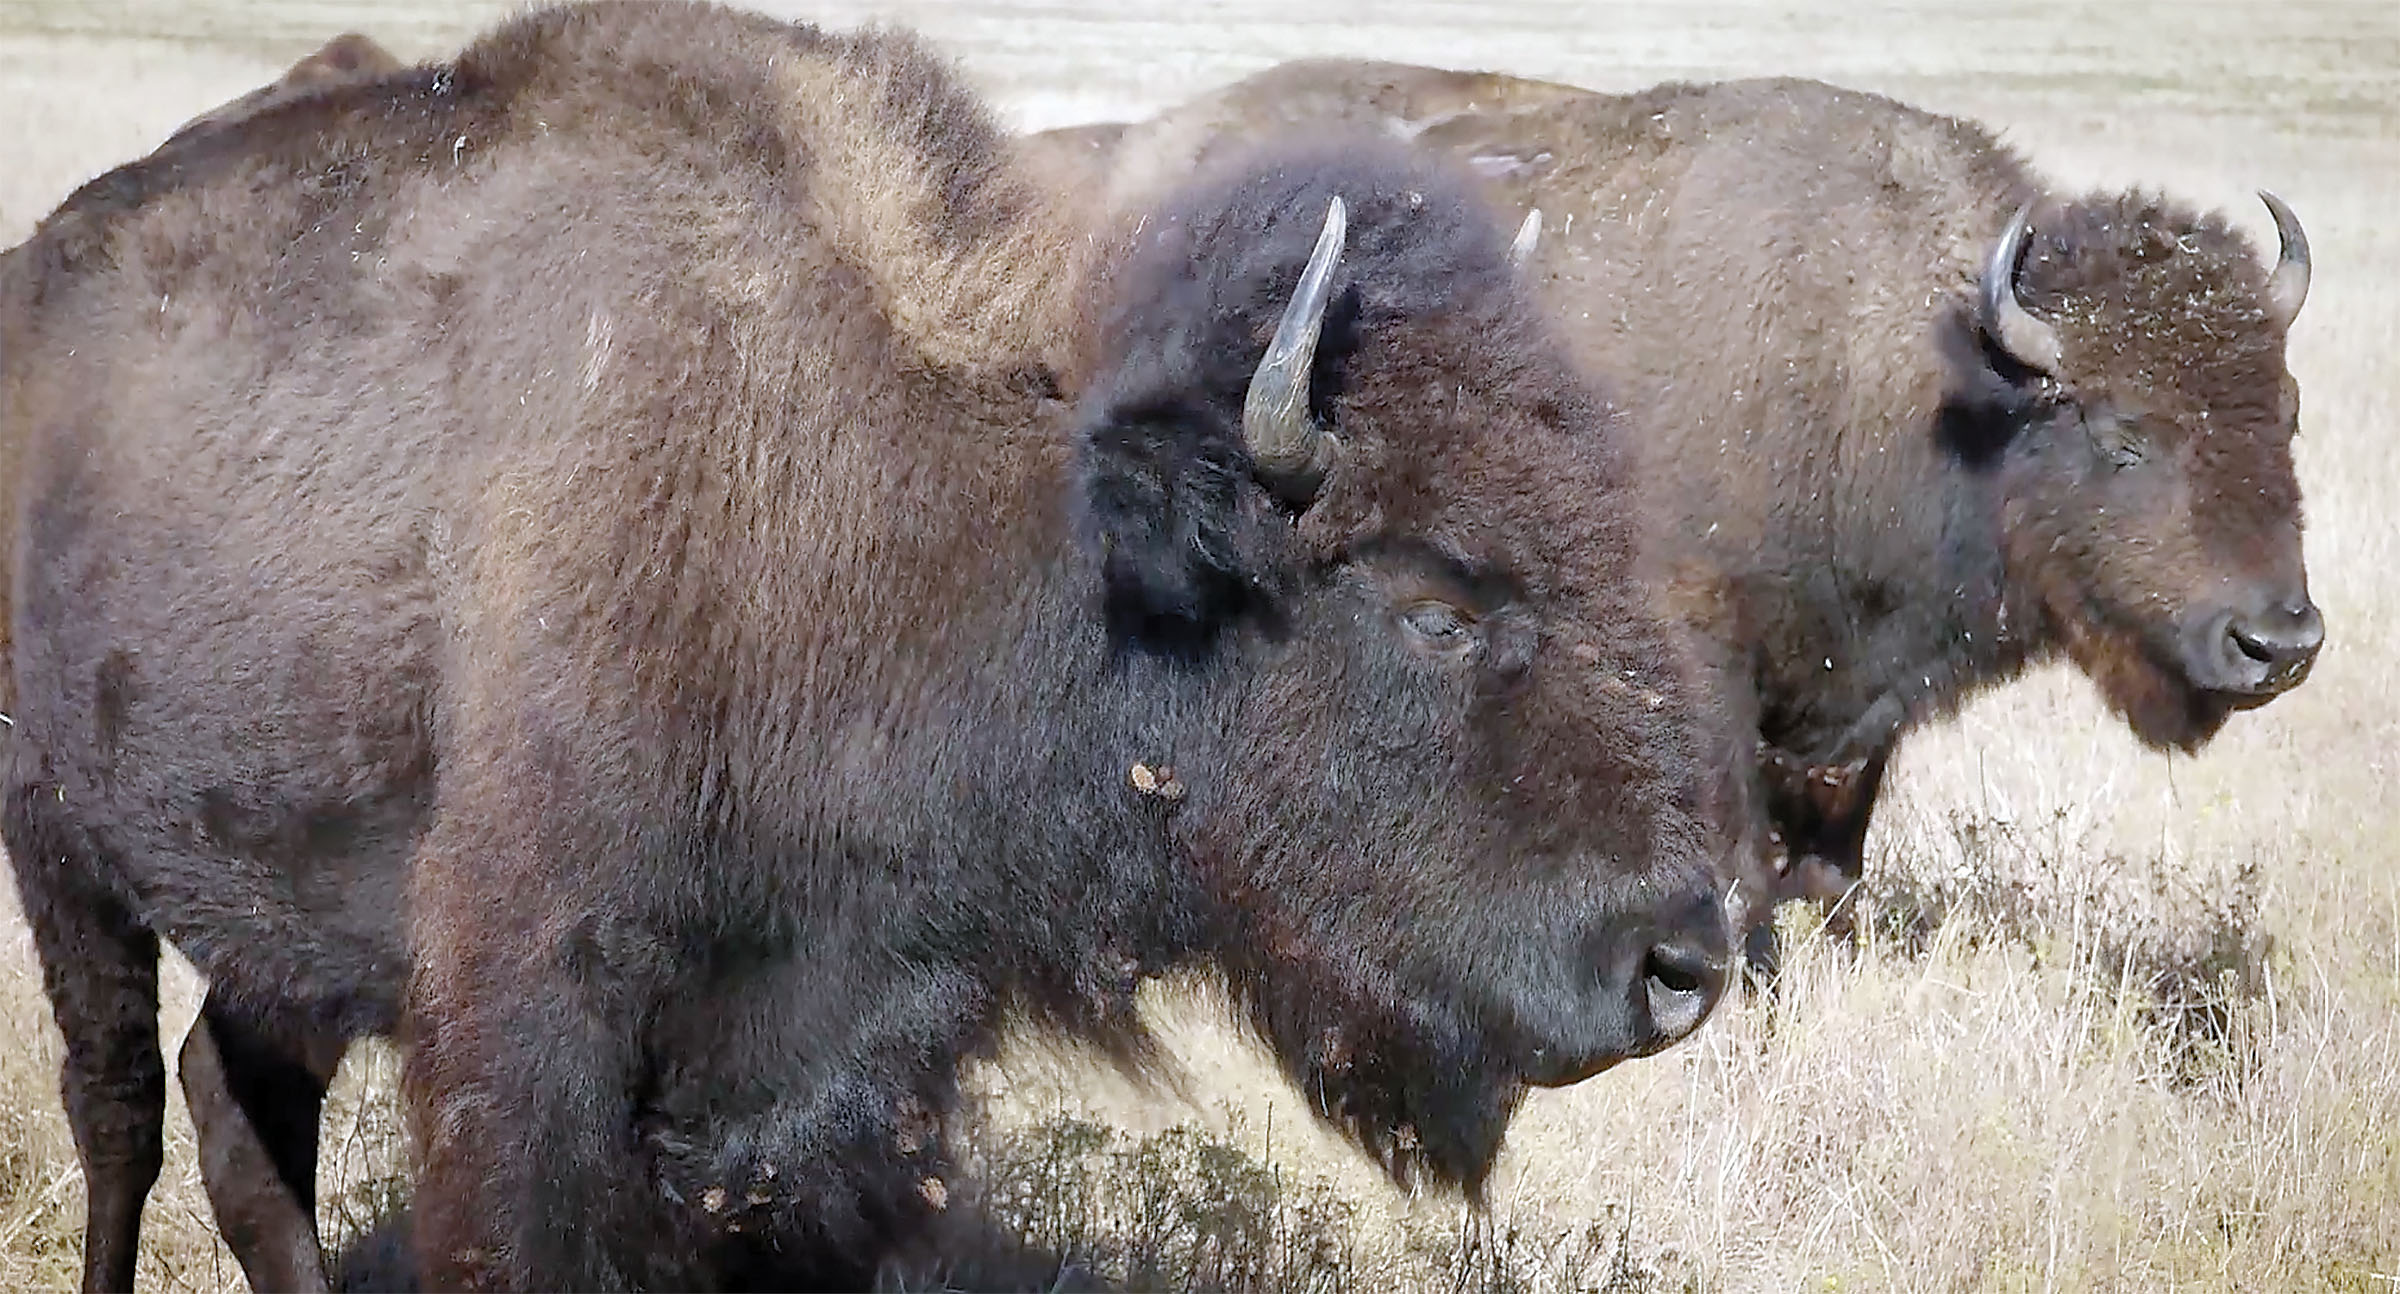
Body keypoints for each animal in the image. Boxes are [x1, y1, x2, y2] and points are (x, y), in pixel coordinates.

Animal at [1, 4, 1733, 1289]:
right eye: (1433, 604)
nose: (1684, 964)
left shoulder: (830, 1080)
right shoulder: (530, 1029)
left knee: (238, 1107)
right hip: (62, 850)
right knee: (123, 1106)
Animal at [1031, 65, 2321, 943]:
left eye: (2289, 409)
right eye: (2123, 431)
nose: (2281, 640)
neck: (1909, 370)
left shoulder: (1853, 707)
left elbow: (1832, 865)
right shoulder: (1703, 651)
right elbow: (1740, 865)